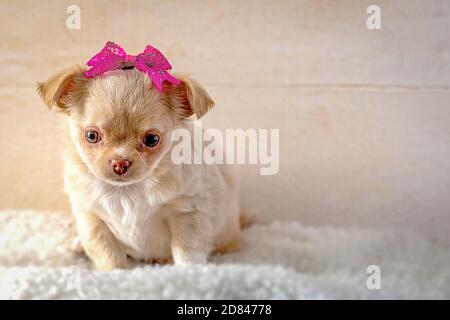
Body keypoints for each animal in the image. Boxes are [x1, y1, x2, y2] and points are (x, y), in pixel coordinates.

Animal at [37, 66, 243, 272]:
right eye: (91, 136)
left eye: (151, 139)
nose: (120, 162)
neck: (125, 192)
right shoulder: (91, 218)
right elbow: (108, 255)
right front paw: (117, 273)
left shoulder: (187, 211)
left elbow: (187, 250)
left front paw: (189, 272)